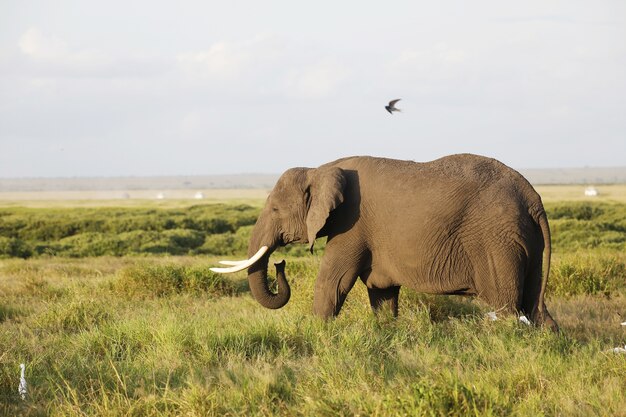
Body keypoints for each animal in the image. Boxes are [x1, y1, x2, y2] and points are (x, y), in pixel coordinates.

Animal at [212, 154, 560, 332]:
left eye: (274, 210)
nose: (280, 263)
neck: (321, 169)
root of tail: (534, 198)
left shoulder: (352, 224)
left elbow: (333, 280)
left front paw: (318, 332)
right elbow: (380, 290)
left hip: (496, 242)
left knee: (506, 307)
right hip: (524, 240)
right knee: (534, 306)